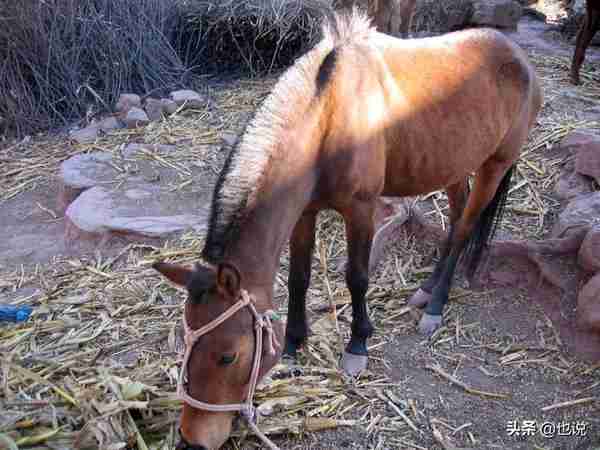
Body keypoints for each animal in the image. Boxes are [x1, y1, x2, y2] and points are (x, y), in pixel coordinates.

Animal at [152, 7, 540, 450]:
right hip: (453, 165)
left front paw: (358, 344)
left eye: (228, 355)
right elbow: (299, 278)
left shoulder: (360, 211)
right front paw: (293, 344)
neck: (329, 113)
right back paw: (425, 290)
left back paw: (436, 305)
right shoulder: (305, 213)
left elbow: (357, 277)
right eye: (185, 344)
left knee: (462, 231)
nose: (191, 439)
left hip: (495, 165)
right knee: (458, 218)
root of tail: (519, 58)